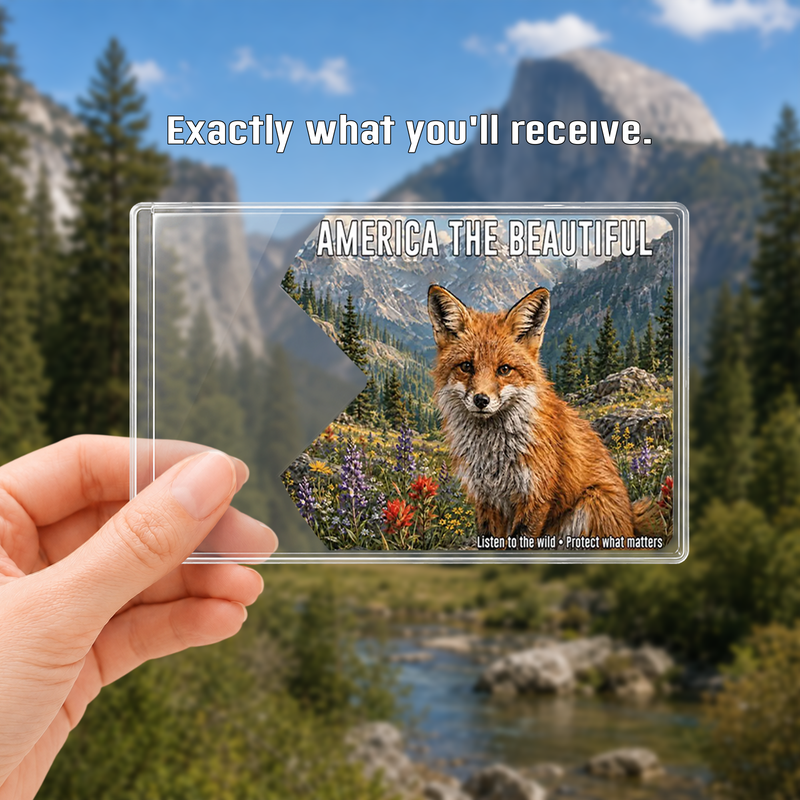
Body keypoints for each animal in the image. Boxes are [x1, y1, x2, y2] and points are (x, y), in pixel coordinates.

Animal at [427, 284, 665, 547]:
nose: (481, 400)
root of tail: (631, 523)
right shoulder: (486, 500)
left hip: (591, 503)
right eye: (466, 366)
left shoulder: (535, 496)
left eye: (504, 369)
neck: (494, 456)